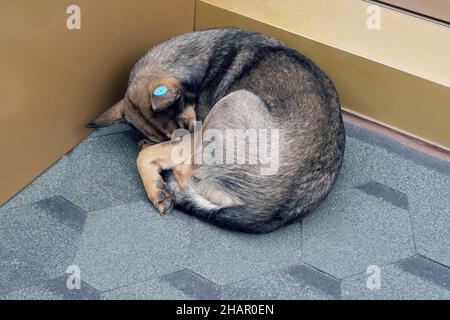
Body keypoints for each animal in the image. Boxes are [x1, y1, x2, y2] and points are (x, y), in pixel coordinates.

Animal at [87, 26, 344, 232]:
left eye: (185, 125)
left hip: (233, 101)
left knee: (182, 172)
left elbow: (146, 156)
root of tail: (272, 208)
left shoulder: (196, 130)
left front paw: (155, 187)